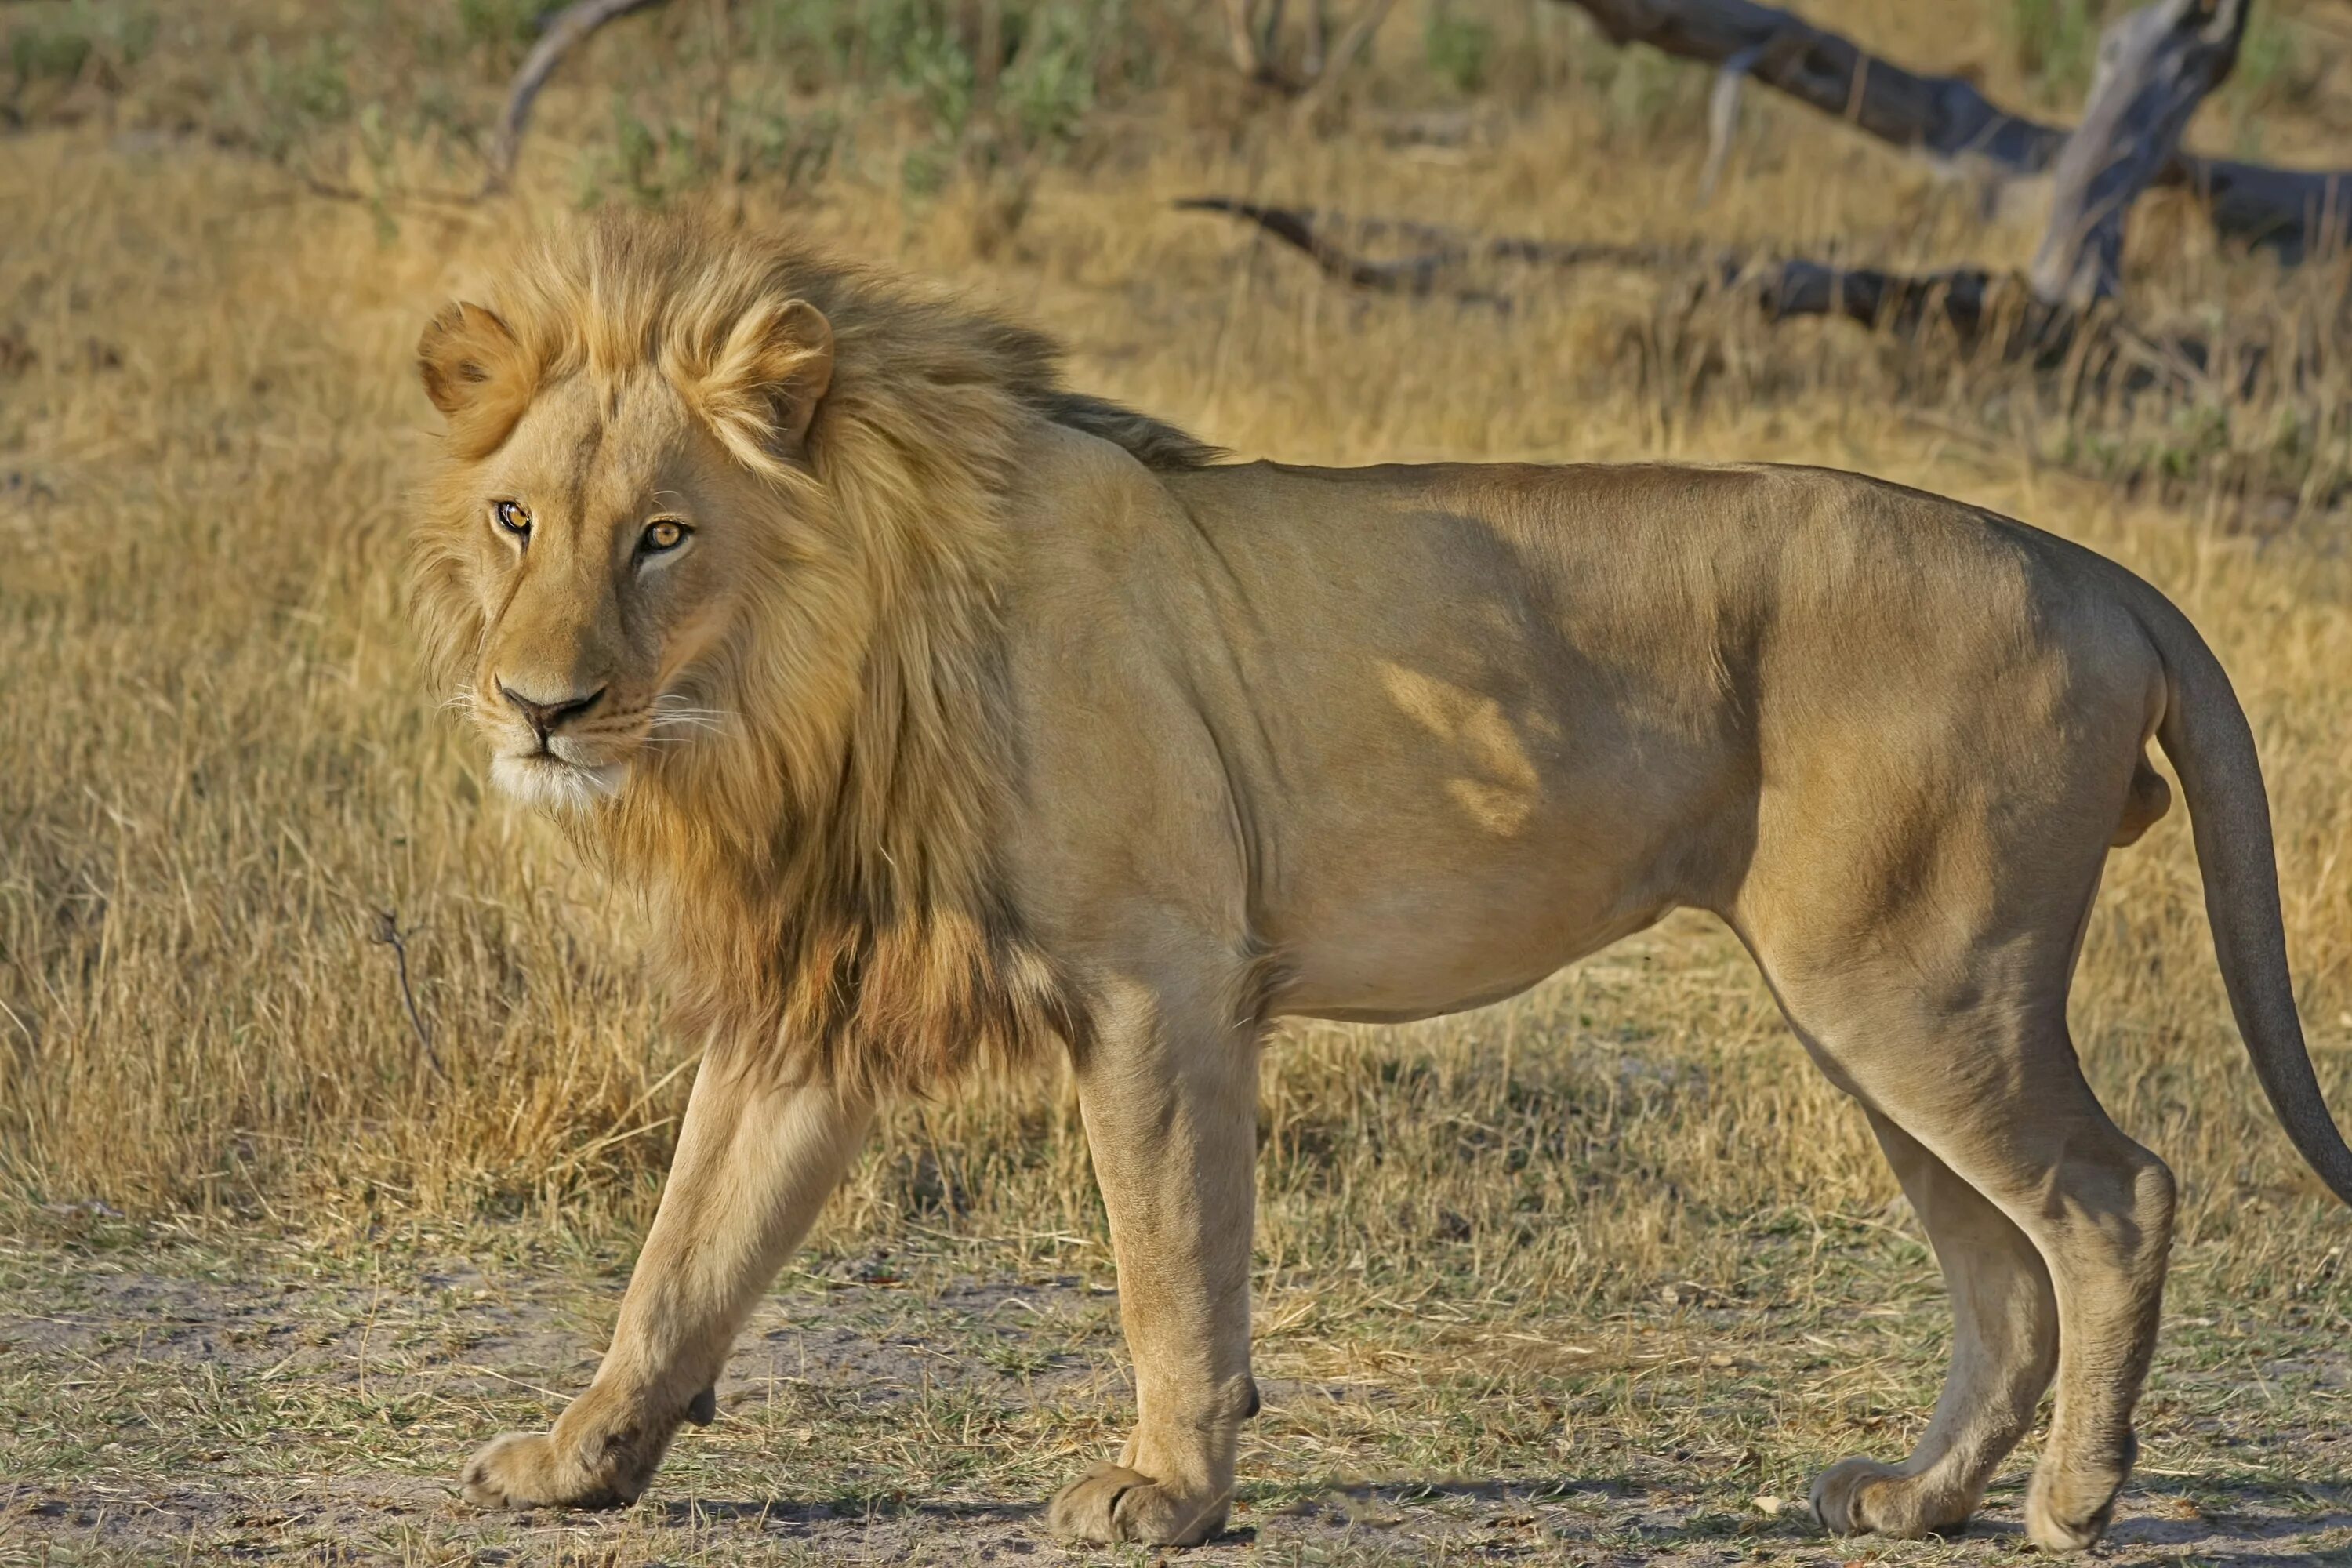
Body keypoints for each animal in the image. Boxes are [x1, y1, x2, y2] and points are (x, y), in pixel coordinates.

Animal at [414, 215, 2343, 1552]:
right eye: (519, 520)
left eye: (664, 534)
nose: (537, 706)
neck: (807, 683)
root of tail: (2091, 564)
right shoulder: (818, 1000)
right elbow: (684, 1256)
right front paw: (577, 1463)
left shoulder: (1161, 981)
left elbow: (1172, 1263)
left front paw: (1164, 1494)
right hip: (1870, 1006)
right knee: (2003, 1272)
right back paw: (1921, 1501)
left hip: (1916, 984)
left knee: (2115, 1198)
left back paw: (2077, 1505)